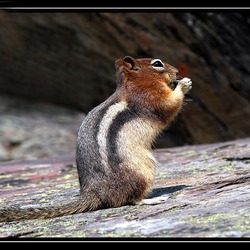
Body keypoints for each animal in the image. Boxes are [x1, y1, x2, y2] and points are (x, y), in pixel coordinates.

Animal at [0, 56, 191, 221]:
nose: (177, 72)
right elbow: (169, 104)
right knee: (129, 200)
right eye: (157, 63)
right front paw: (184, 84)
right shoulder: (150, 97)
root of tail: (95, 191)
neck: (134, 84)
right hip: (142, 170)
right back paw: (151, 199)